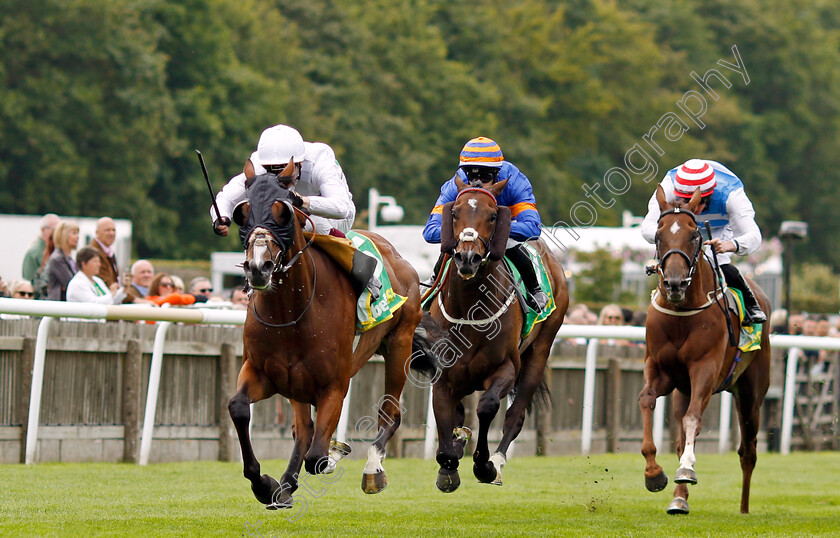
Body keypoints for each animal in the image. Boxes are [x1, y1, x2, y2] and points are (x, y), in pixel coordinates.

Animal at [226, 165, 436, 508]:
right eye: (242, 213)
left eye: (284, 212)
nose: (258, 267)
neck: (291, 312)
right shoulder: (263, 373)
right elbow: (239, 408)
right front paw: (265, 484)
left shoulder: (334, 385)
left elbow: (318, 458)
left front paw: (334, 454)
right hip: (296, 383)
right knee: (303, 430)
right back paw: (286, 485)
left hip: (400, 344)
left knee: (389, 414)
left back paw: (372, 470)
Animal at [426, 176, 572, 490]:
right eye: (453, 212)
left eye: (493, 215)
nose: (467, 257)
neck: (471, 309)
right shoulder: (444, 372)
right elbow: (445, 412)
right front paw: (448, 461)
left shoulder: (505, 366)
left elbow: (487, 407)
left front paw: (483, 464)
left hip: (540, 350)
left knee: (515, 415)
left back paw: (498, 460)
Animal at [640, 186, 772, 512]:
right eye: (659, 235)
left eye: (694, 235)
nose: (674, 284)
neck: (682, 312)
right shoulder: (660, 369)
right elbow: (646, 401)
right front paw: (654, 473)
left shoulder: (705, 369)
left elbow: (693, 420)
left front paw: (687, 469)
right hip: (683, 390)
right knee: (681, 437)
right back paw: (679, 500)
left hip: (751, 393)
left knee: (748, 450)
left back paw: (744, 508)